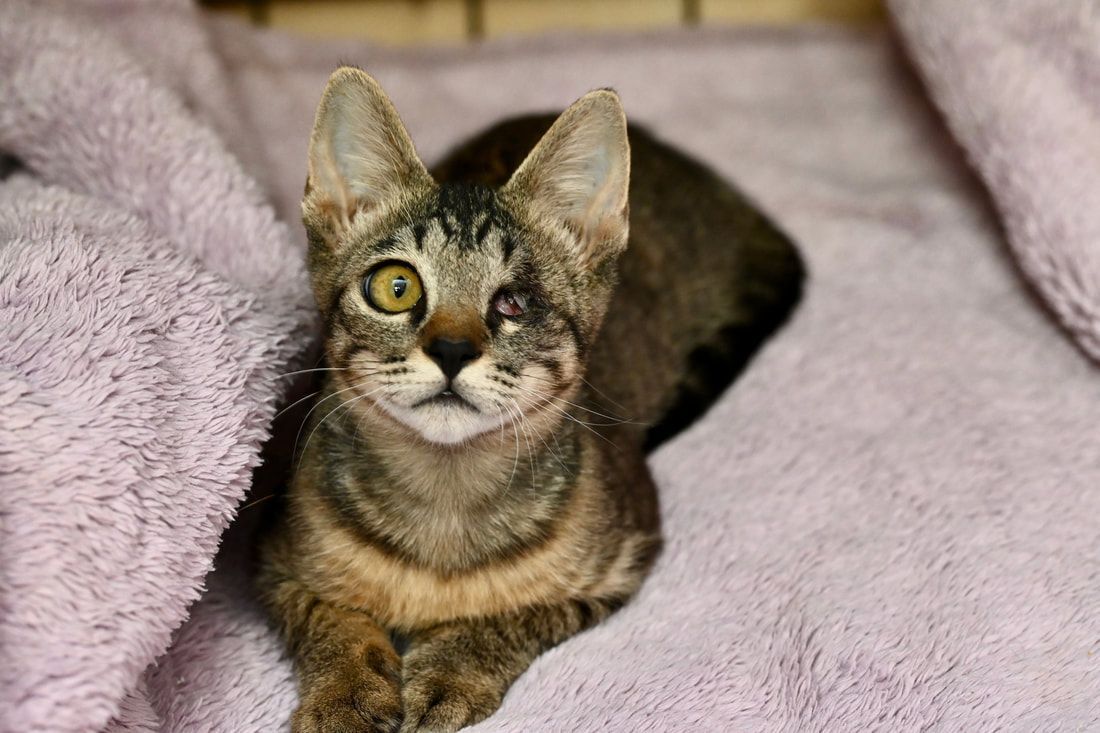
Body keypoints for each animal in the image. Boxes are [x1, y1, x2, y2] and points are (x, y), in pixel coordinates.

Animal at [260, 65, 805, 726]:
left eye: (516, 302)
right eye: (395, 287)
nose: (451, 349)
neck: (445, 506)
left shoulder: (622, 563)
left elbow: (519, 613)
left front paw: (453, 666)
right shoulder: (274, 558)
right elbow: (326, 614)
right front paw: (345, 691)